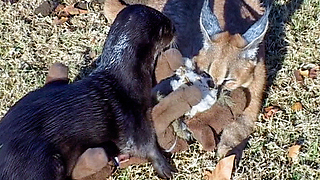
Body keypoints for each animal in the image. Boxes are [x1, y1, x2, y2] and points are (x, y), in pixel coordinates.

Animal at [0, 4, 175, 179]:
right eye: (166, 26)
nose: (174, 27)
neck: (127, 79)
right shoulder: (130, 115)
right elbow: (143, 145)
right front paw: (165, 166)